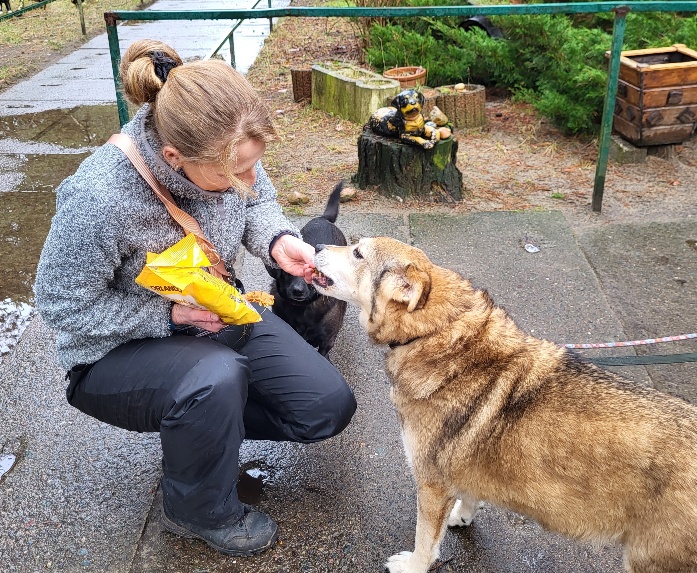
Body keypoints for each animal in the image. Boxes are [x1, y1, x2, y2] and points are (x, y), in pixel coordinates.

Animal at [311, 237, 697, 573]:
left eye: (357, 253)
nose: (314, 245)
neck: (438, 332)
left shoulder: (431, 485)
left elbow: (425, 541)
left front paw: (414, 567)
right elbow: (468, 494)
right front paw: (463, 514)